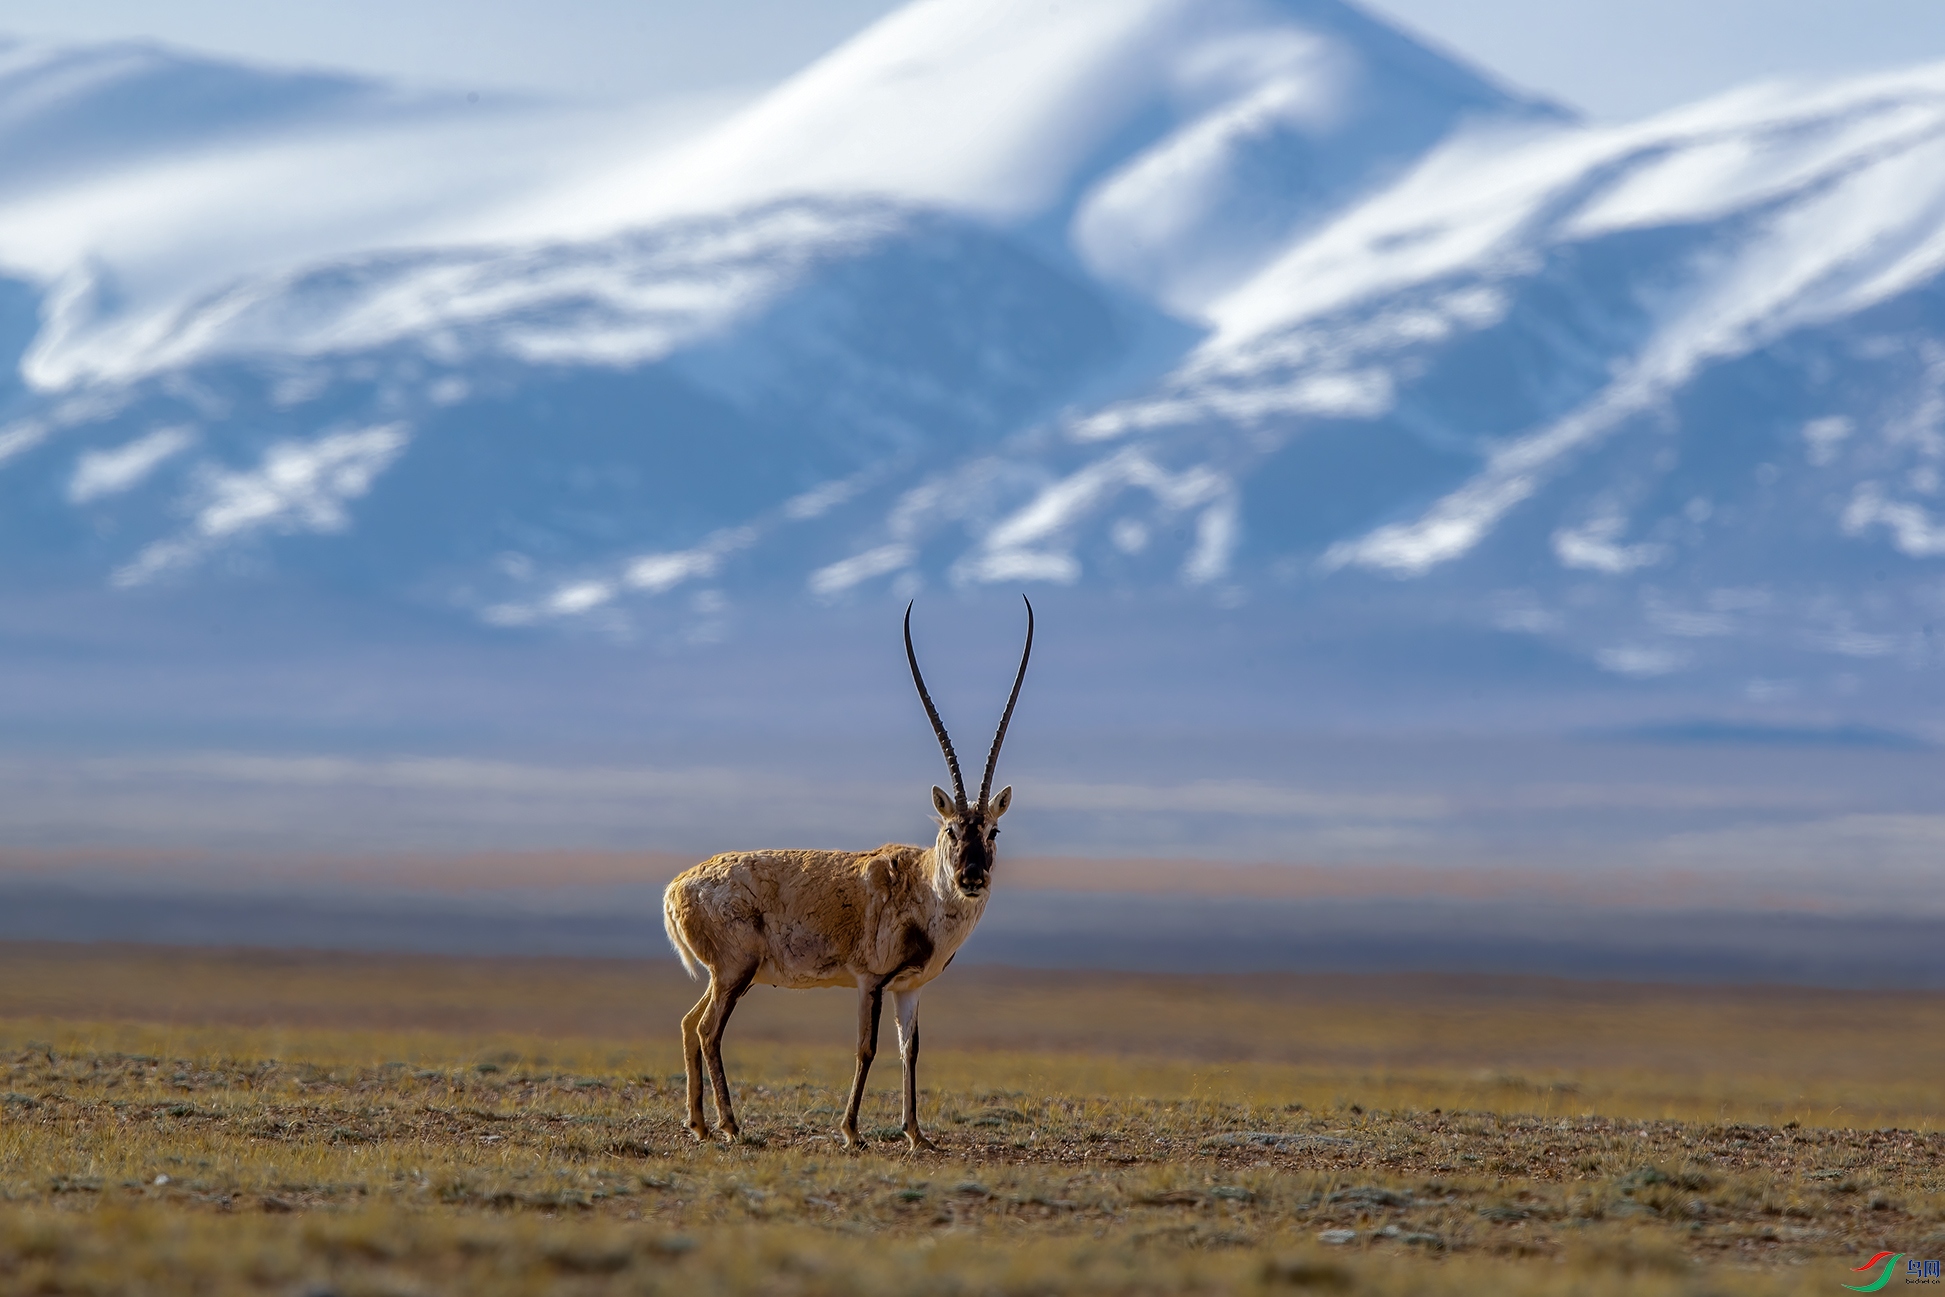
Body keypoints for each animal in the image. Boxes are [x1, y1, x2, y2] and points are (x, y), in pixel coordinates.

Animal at [665, 598, 1034, 1143]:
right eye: (951, 830)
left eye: (992, 831)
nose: (972, 877)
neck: (921, 885)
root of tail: (676, 888)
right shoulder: (870, 981)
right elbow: (867, 1048)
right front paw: (851, 1130)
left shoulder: (910, 988)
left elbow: (910, 1051)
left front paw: (916, 1134)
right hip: (735, 971)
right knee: (709, 1031)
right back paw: (730, 1125)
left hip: (724, 975)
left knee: (690, 1025)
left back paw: (699, 1124)